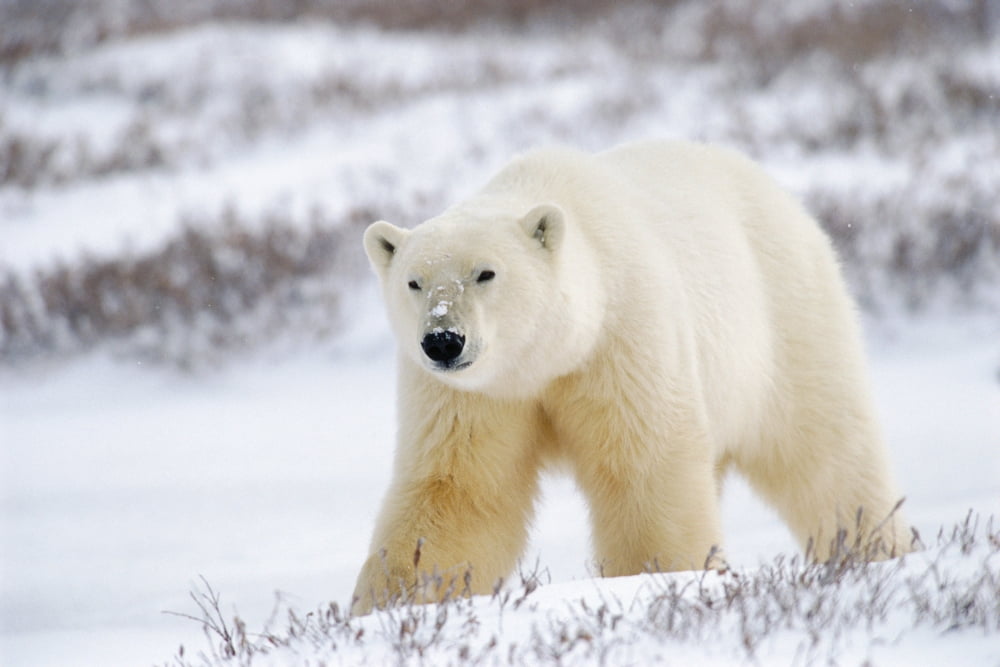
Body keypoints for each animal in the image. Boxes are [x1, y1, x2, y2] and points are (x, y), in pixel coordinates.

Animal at [352, 139, 912, 615]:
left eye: (485, 273)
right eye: (414, 282)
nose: (443, 340)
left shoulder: (621, 336)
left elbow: (645, 467)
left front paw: (658, 578)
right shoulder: (472, 394)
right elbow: (457, 491)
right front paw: (386, 604)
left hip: (786, 320)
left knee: (826, 453)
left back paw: (875, 548)